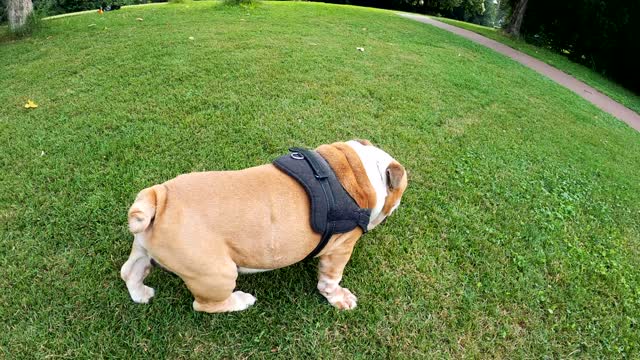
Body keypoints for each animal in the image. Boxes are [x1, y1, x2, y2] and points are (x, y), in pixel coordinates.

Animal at [120, 141, 408, 312]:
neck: (359, 170)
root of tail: (159, 196)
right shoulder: (341, 248)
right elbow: (330, 278)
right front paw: (339, 297)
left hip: (143, 248)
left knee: (129, 271)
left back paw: (141, 293)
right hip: (217, 273)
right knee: (204, 305)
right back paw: (241, 301)